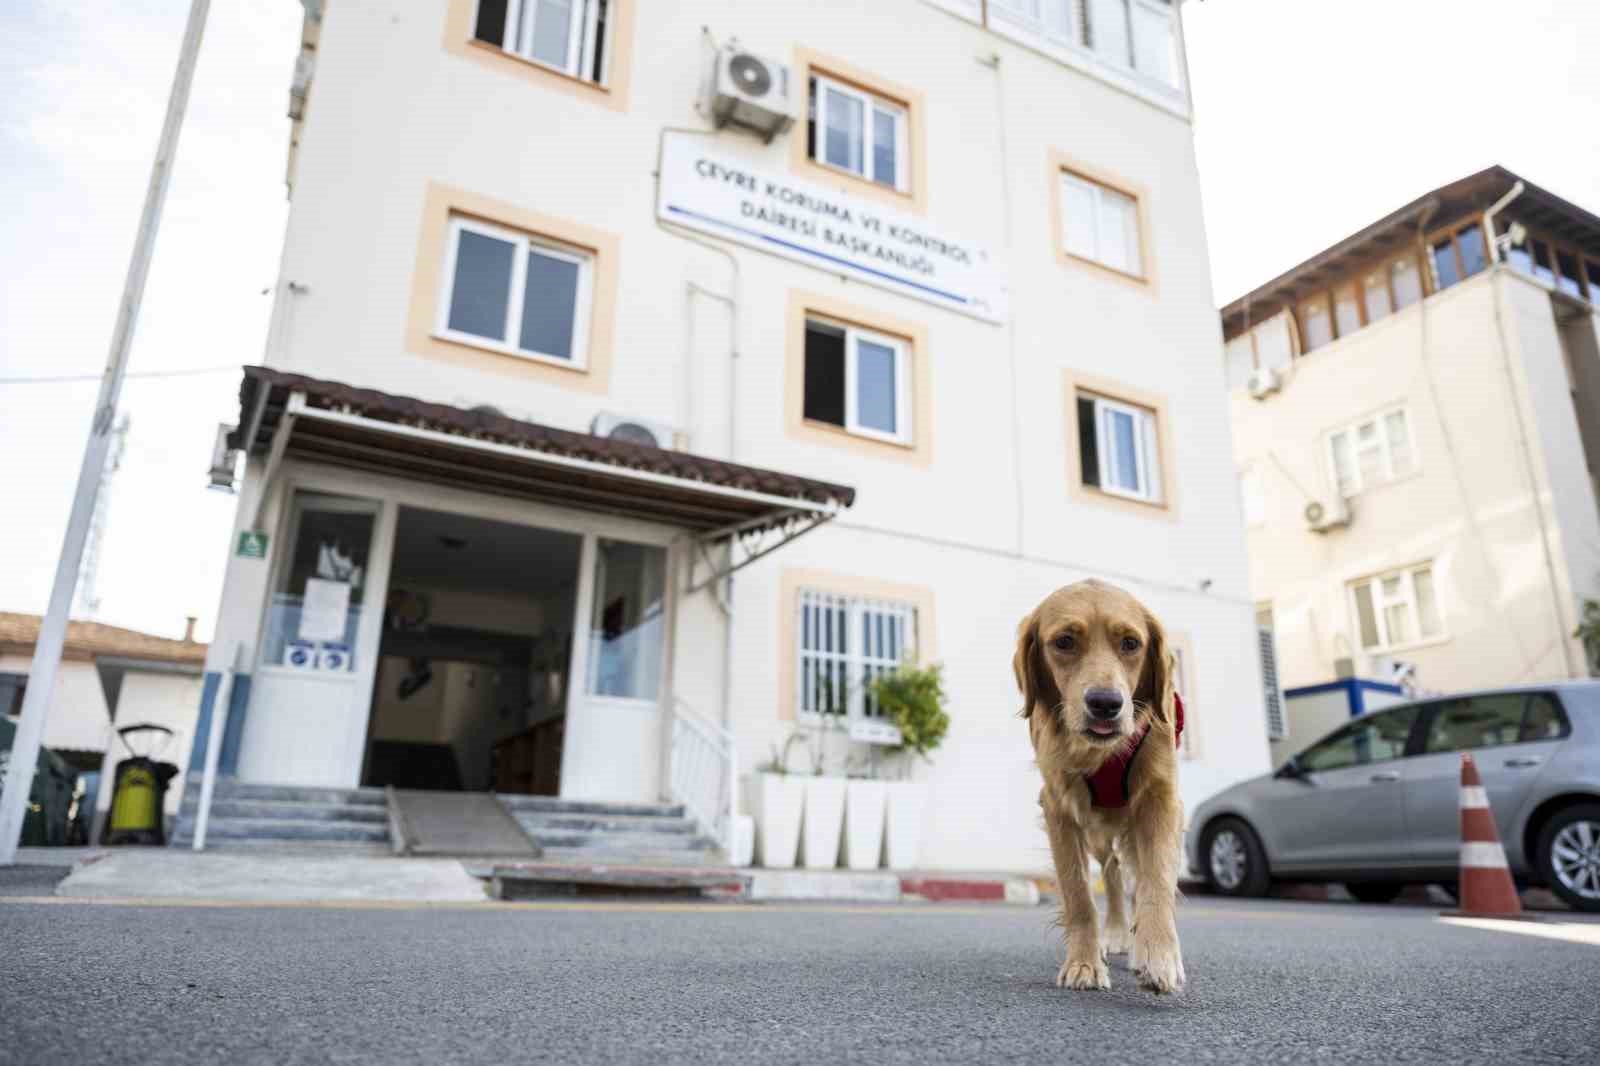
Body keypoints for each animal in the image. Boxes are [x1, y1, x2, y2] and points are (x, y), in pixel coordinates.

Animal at [1011, 582, 1190, 985]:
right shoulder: (1059, 809)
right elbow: (1078, 894)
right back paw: (1116, 933)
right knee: (1111, 875)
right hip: (1097, 834)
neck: (1100, 754)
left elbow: (1156, 879)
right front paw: (1084, 963)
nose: (1105, 703)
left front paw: (1158, 955)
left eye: (1130, 643)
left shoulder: (1161, 800)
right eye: (1064, 641)